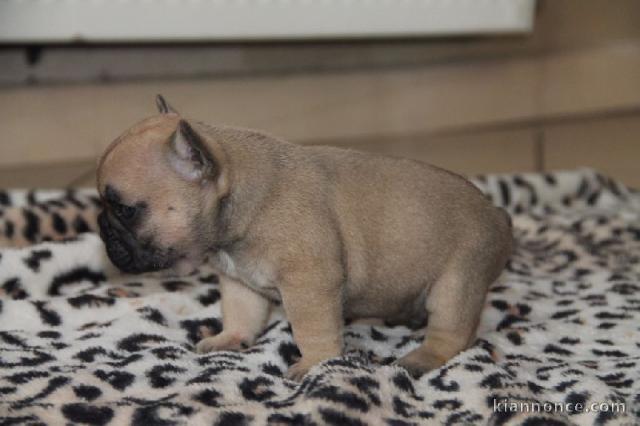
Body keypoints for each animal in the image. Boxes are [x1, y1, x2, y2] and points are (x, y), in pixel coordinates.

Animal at [96, 96, 510, 380]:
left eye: (126, 210)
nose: (101, 225)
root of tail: (498, 215)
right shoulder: (239, 282)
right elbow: (241, 313)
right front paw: (230, 338)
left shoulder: (309, 283)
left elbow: (311, 328)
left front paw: (314, 363)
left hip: (457, 283)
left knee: (451, 335)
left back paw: (419, 359)